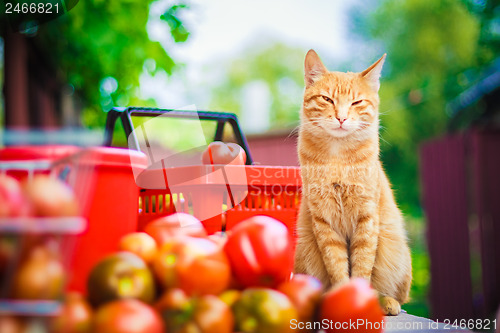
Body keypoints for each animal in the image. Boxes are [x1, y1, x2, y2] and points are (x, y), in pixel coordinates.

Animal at [294, 49, 412, 314]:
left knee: (399, 298)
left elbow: (361, 266)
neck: (337, 157)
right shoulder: (324, 222)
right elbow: (337, 266)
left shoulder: (366, 219)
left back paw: (387, 302)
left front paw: (359, 301)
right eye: (327, 99)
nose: (341, 118)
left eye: (356, 102)